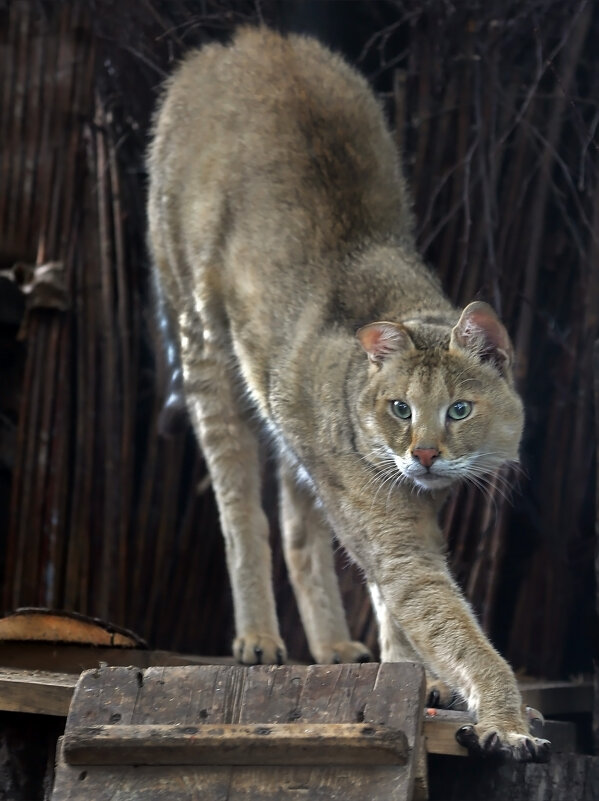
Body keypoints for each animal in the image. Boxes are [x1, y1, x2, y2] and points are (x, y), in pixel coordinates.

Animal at [148, 28, 552, 760]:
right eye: (399, 408)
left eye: (458, 409)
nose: (423, 453)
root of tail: (245, 39)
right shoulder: (395, 539)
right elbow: (455, 628)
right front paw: (506, 718)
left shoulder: (396, 524)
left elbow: (397, 603)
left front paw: (415, 677)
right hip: (202, 345)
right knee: (240, 509)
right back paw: (259, 637)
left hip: (279, 411)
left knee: (298, 523)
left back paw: (334, 644)